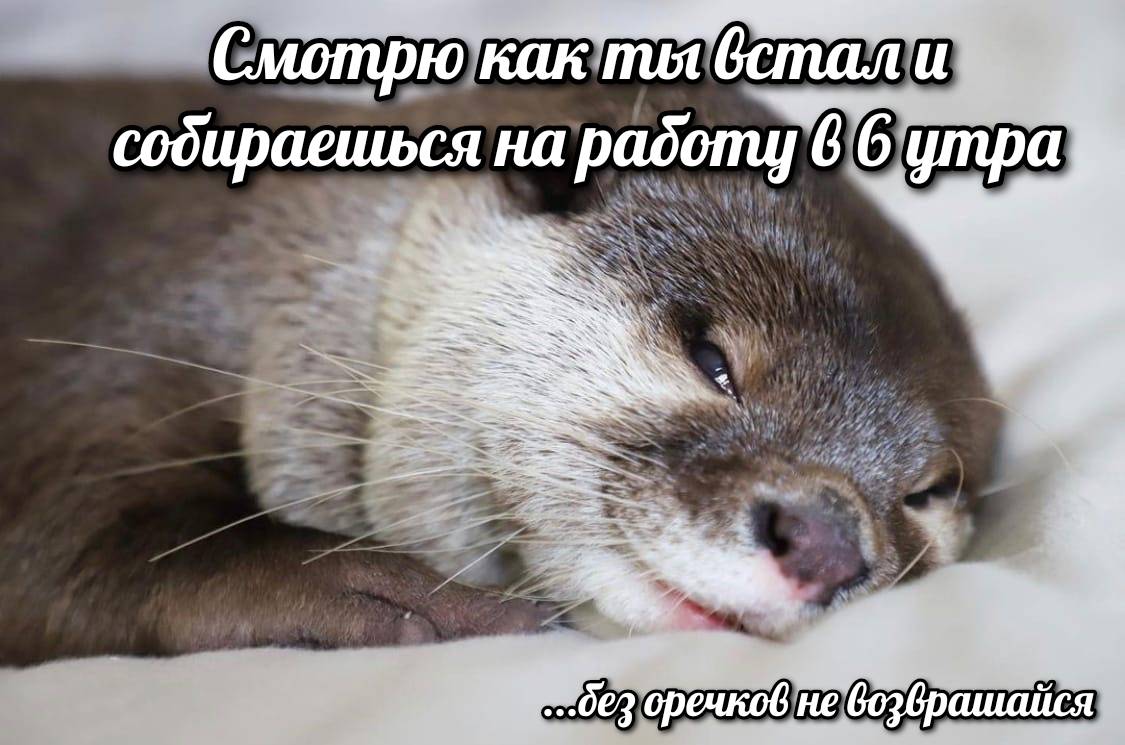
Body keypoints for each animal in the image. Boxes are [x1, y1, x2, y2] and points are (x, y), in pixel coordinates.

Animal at [0, 79, 999, 664]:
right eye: (713, 361)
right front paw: (395, 594)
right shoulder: (117, 313)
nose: (827, 541)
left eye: (926, 491)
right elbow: (65, 540)